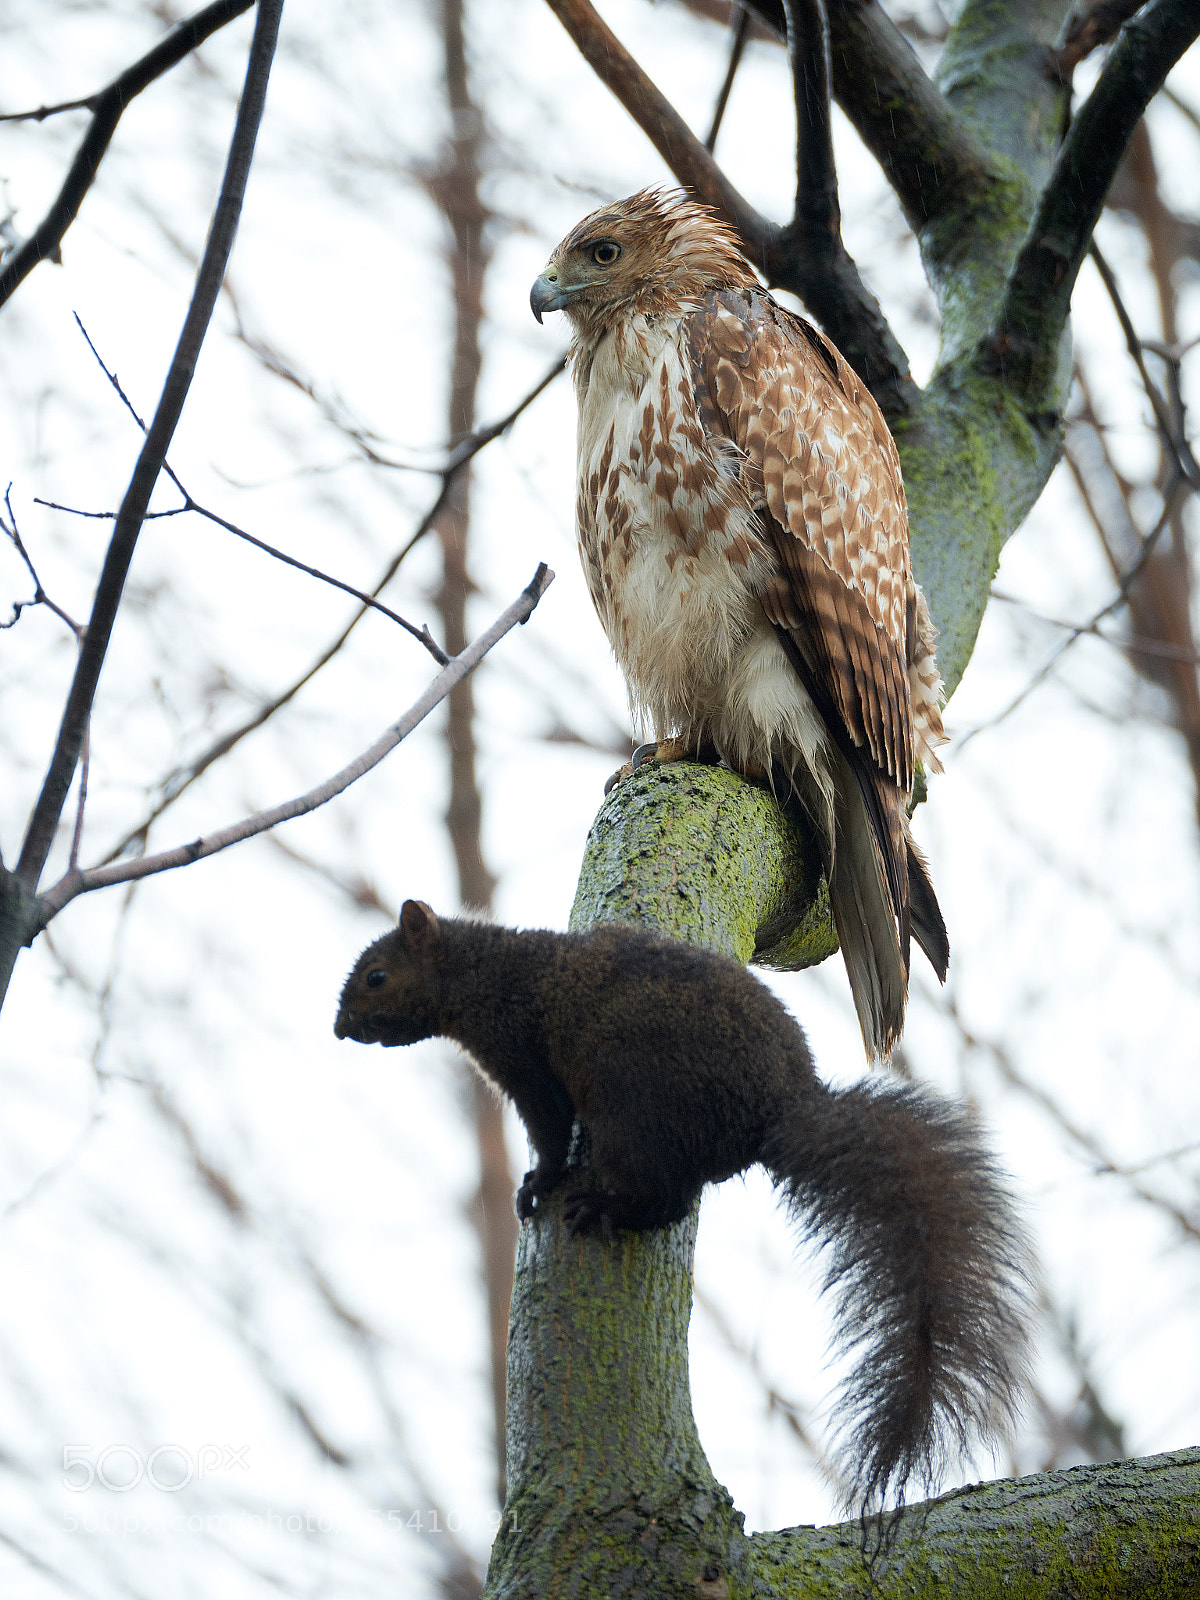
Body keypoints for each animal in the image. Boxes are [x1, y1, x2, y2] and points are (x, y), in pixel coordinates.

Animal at [335, 900, 1032, 1510]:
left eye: (376, 976)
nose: (341, 1029)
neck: (485, 972)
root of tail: (778, 1111)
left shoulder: (524, 1060)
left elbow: (551, 1131)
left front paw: (538, 1184)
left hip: (636, 1112)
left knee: (663, 1198)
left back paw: (604, 1208)